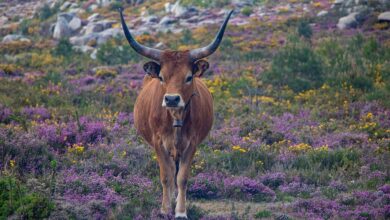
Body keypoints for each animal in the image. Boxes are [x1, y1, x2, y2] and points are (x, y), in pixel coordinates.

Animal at [119, 7, 233, 217]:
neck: (176, 118)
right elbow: (166, 176)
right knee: (171, 171)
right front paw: (165, 210)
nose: (171, 99)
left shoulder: (192, 143)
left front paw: (180, 211)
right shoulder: (158, 143)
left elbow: (182, 178)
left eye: (188, 77)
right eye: (162, 77)